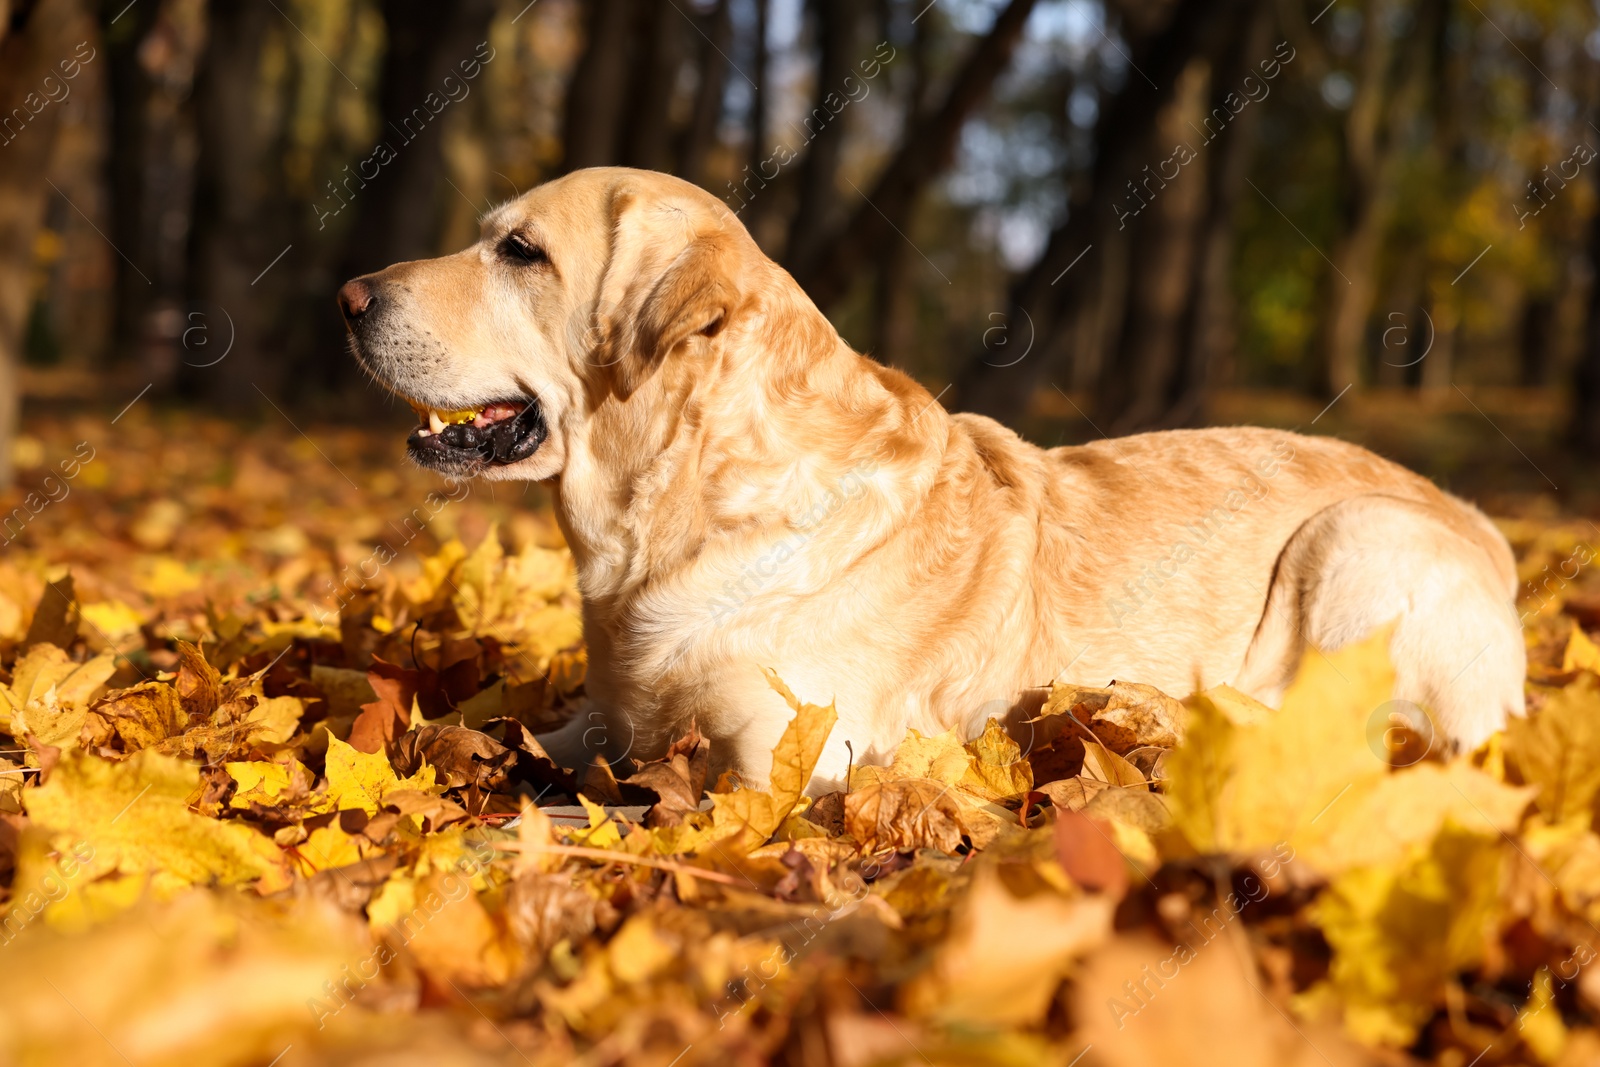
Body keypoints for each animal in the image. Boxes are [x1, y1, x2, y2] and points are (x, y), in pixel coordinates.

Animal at [340, 164, 1523, 783]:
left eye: (521, 252)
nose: (347, 295)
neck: (676, 513)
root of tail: (1486, 523)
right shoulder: (602, 717)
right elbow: (519, 740)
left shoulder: (787, 756)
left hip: (1357, 537)